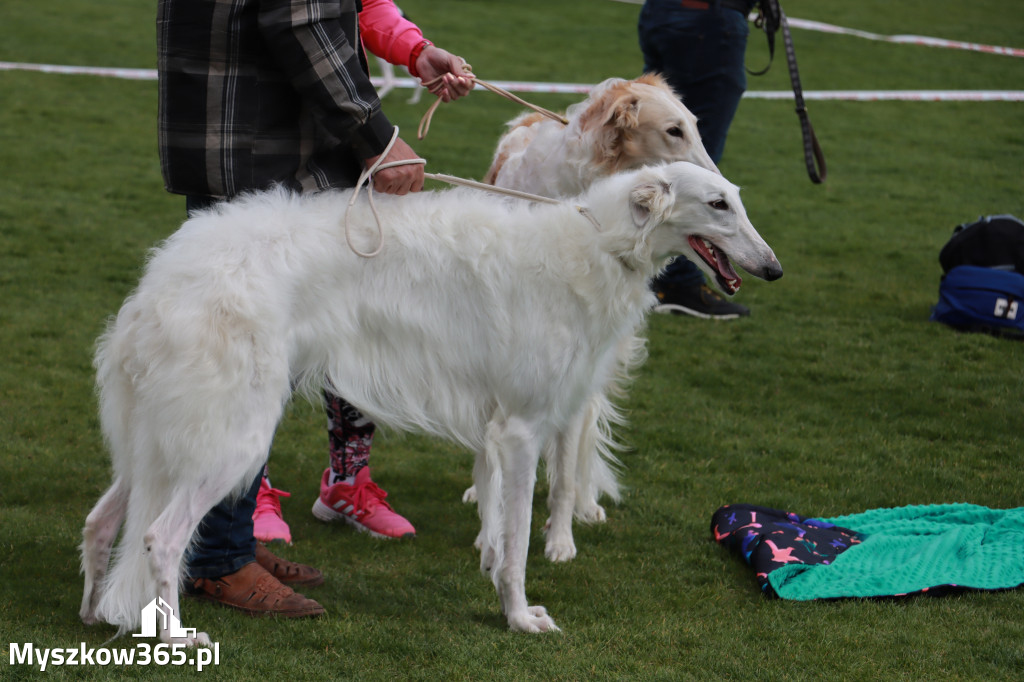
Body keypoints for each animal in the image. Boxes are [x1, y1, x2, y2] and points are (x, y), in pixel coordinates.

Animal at [81, 160, 782, 643]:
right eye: (717, 203)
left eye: (739, 199)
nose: (774, 269)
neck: (596, 244)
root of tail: (160, 284)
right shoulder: (522, 427)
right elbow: (518, 542)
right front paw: (520, 616)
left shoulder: (503, 425)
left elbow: (499, 526)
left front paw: (495, 568)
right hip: (234, 437)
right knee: (161, 537)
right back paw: (175, 635)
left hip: (159, 437)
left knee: (100, 521)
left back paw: (91, 612)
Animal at [468, 75, 724, 561]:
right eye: (673, 131)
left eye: (697, 125)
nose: (722, 188)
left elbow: (569, 455)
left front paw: (563, 525)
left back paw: (584, 504)